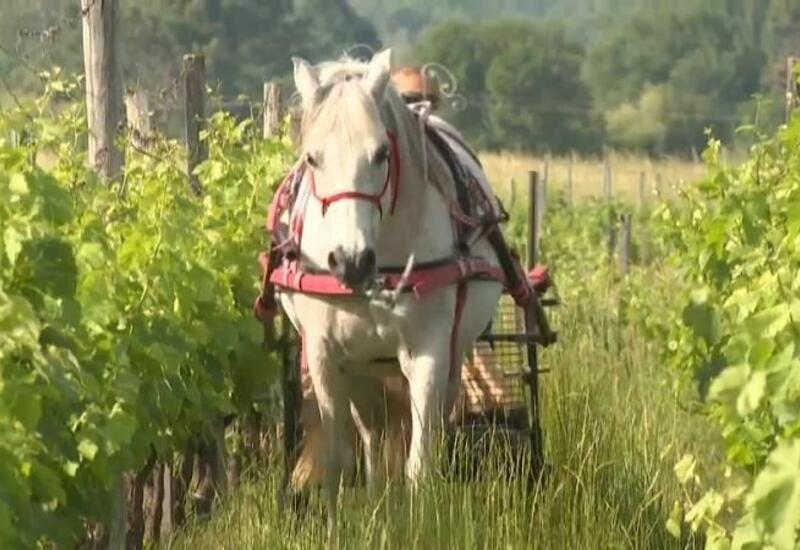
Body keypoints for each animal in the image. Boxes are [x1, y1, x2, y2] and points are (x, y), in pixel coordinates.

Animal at [276, 50, 500, 536]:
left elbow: (419, 461)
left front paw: (419, 526)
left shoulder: (429, 353)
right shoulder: (324, 354)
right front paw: (336, 530)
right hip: (363, 366)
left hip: (448, 355)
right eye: (311, 158)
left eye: (381, 153)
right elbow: (338, 459)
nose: (350, 260)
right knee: (372, 437)